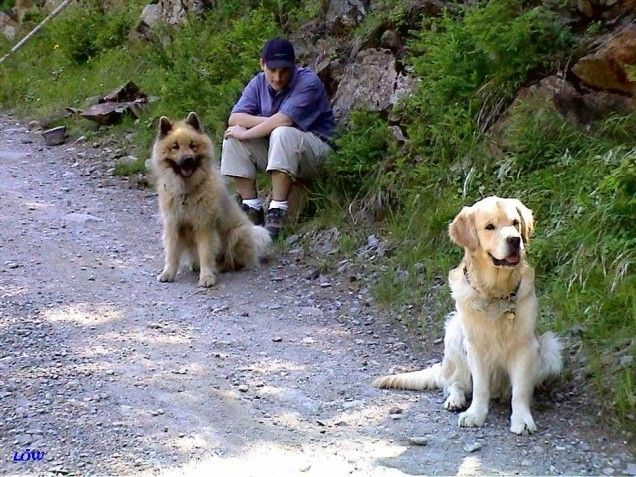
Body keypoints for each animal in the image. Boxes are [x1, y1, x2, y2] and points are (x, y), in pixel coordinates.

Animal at [151, 111, 270, 286]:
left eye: (193, 145)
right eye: (175, 147)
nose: (187, 160)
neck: (187, 192)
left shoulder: (204, 226)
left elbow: (206, 253)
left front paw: (207, 277)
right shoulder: (173, 225)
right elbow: (172, 253)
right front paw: (168, 273)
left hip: (236, 234)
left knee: (233, 261)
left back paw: (220, 267)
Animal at [372, 195, 560, 434]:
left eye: (516, 223)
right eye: (489, 227)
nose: (515, 240)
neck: (496, 292)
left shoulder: (526, 345)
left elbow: (520, 391)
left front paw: (522, 420)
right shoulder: (475, 345)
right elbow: (479, 387)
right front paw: (475, 415)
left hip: (551, 348)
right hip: (454, 333)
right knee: (455, 382)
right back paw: (456, 400)